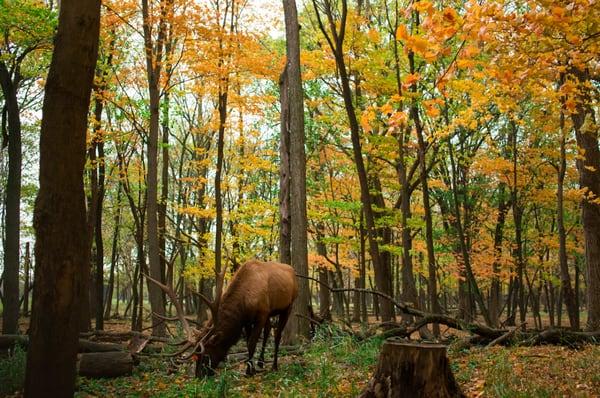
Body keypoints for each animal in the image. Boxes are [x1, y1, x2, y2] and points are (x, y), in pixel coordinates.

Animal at [148, 260, 298, 378]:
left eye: (206, 355)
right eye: (196, 356)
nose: (198, 376)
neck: (244, 304)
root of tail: (292, 270)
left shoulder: (261, 314)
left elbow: (251, 343)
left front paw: (250, 371)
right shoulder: (249, 320)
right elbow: (249, 341)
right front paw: (251, 368)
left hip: (288, 306)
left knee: (277, 335)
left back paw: (274, 366)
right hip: (271, 312)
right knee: (268, 331)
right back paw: (261, 363)